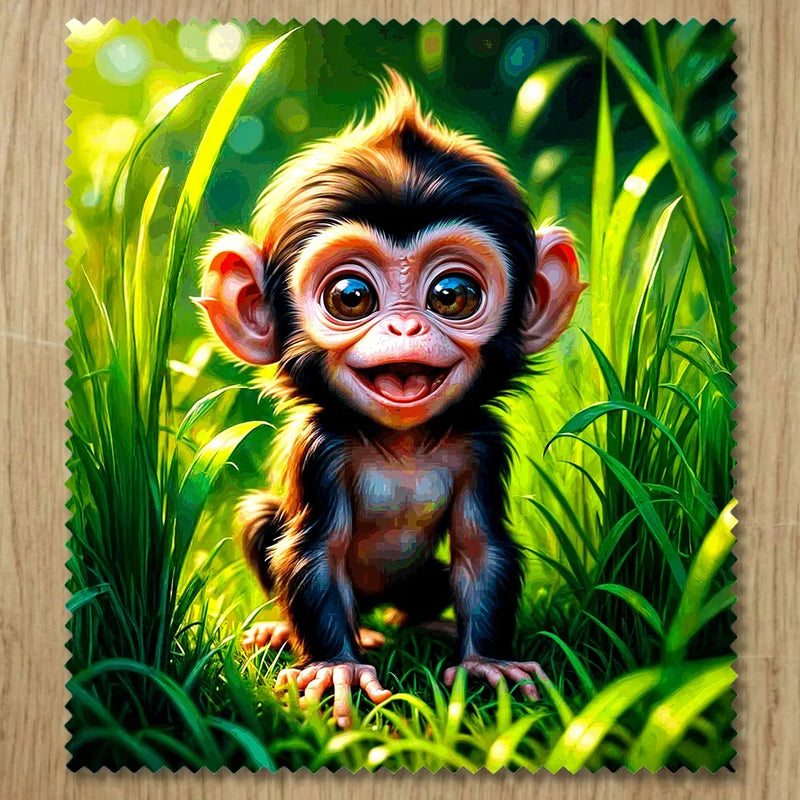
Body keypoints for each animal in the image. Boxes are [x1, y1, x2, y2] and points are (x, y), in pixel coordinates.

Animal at [197, 71, 584, 728]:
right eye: (351, 296)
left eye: (452, 294)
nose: (406, 328)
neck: (402, 444)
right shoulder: (320, 449)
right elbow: (313, 550)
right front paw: (338, 668)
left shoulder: (484, 442)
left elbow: (482, 547)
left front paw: (485, 661)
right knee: (262, 521)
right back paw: (305, 633)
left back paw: (424, 624)